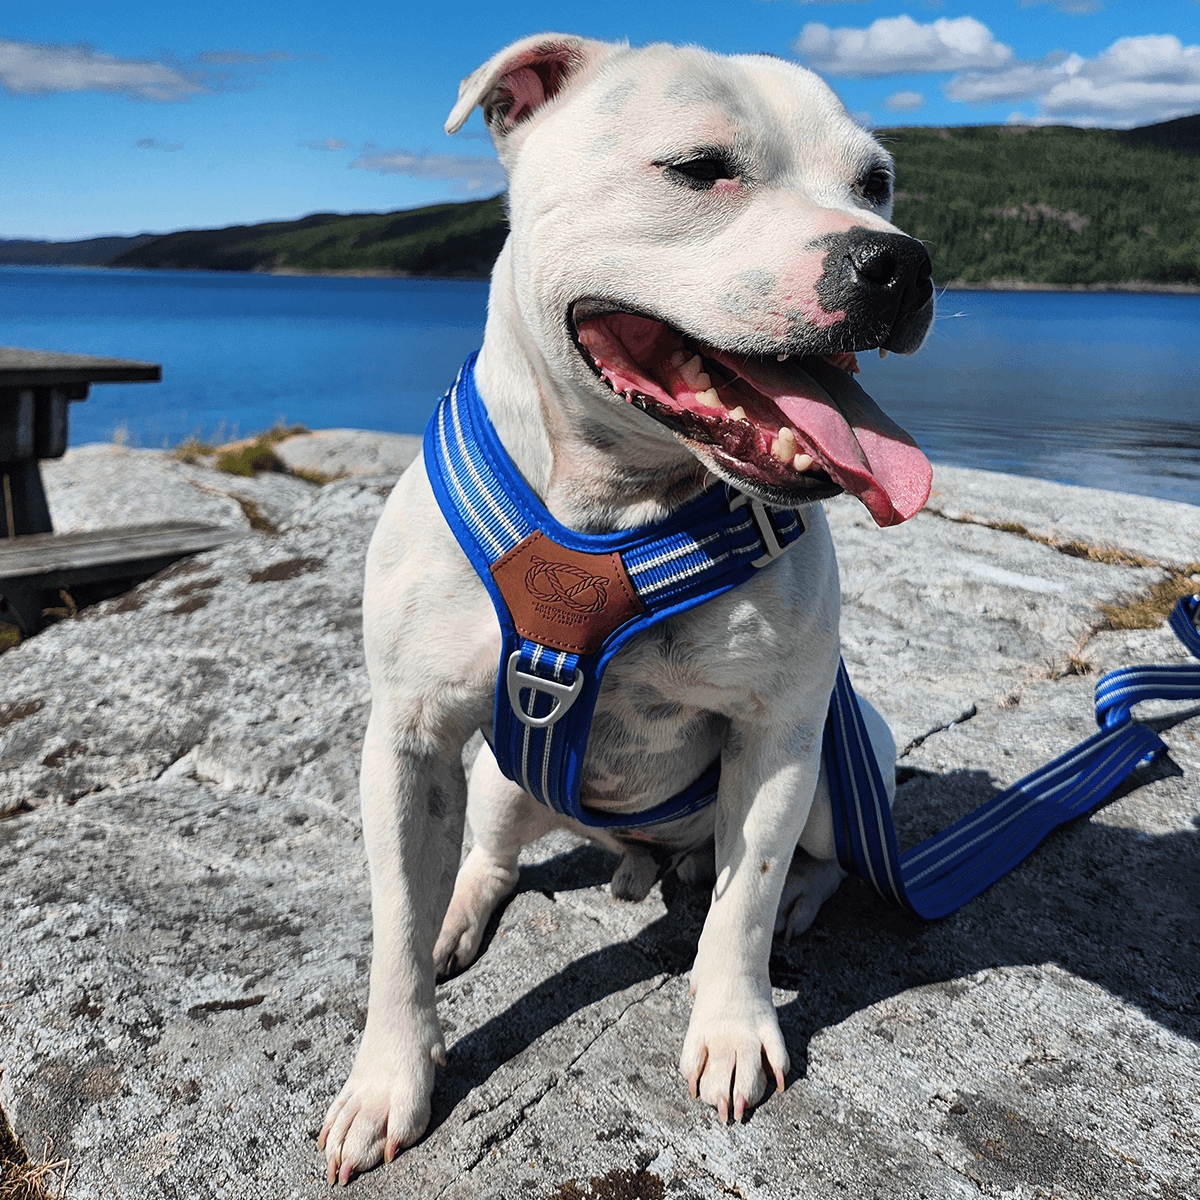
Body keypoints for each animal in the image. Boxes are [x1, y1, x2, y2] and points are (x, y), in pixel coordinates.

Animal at [321, 32, 936, 1185]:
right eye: (699, 168)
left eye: (875, 182)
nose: (898, 262)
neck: (615, 509)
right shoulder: (409, 740)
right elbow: (393, 930)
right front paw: (389, 1077)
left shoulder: (779, 738)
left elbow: (740, 907)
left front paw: (734, 1027)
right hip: (502, 779)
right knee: (490, 852)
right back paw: (462, 911)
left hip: (845, 765)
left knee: (818, 862)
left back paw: (797, 902)